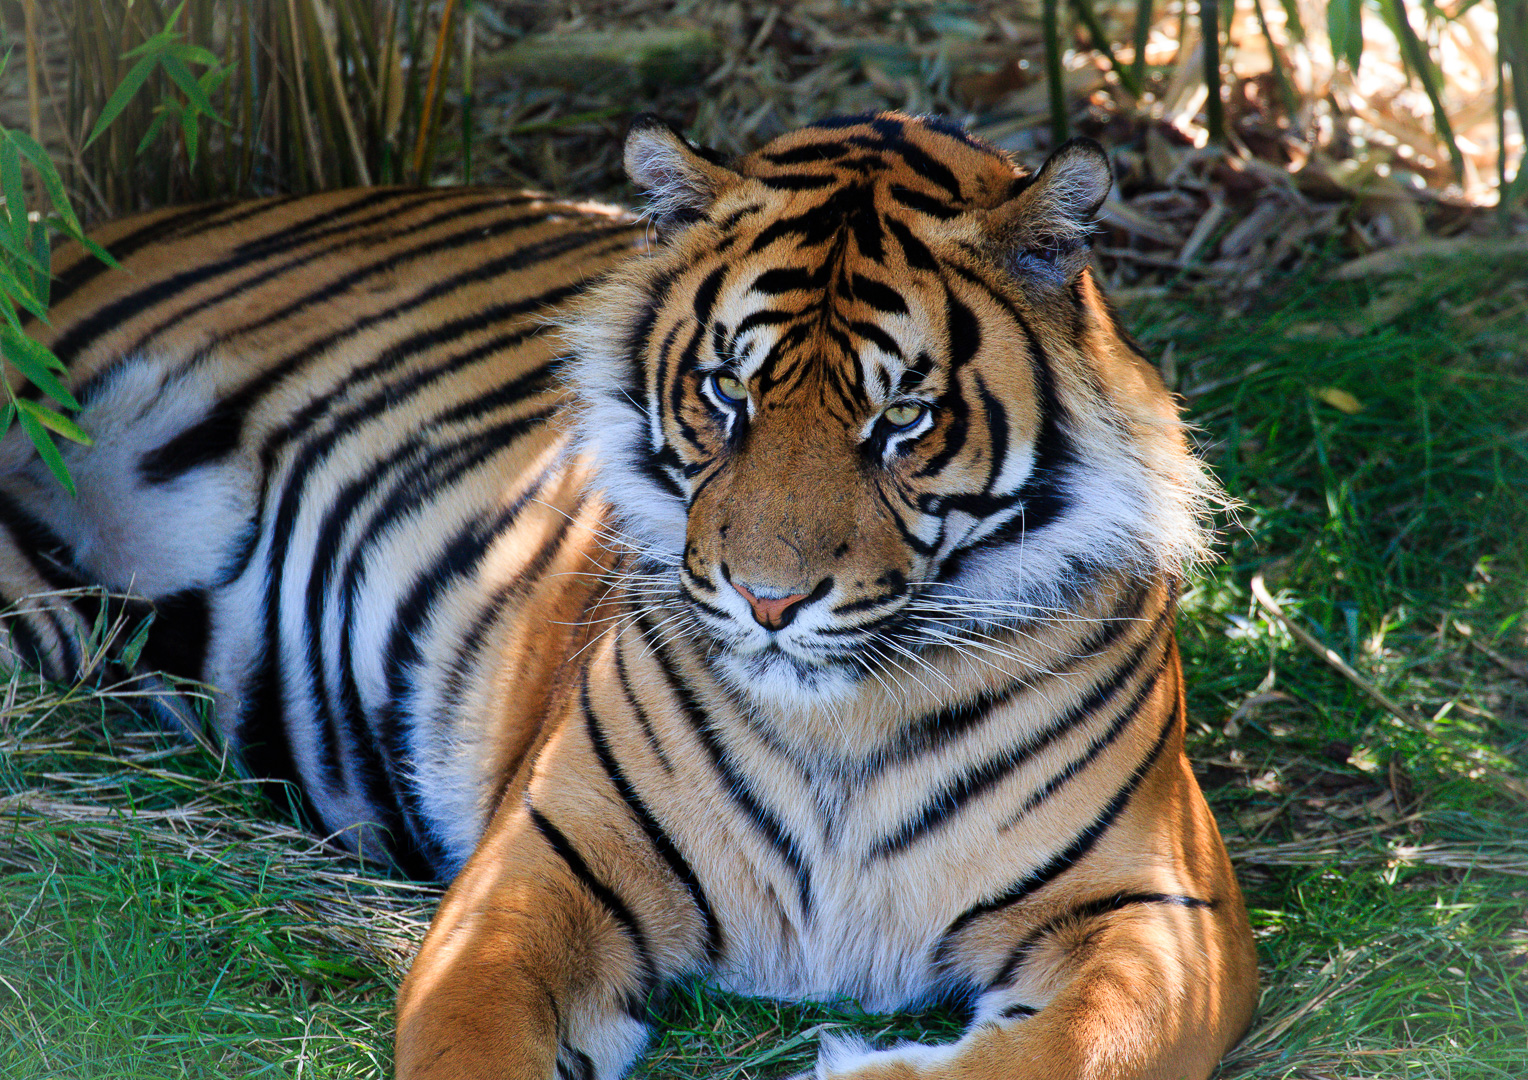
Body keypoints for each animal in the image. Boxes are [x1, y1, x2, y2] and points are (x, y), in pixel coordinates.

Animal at [2, 113, 1252, 1075]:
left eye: (900, 418)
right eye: (726, 392)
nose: (767, 600)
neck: (841, 728)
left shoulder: (1161, 902)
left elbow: (1083, 1043)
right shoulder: (537, 864)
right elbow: (471, 1042)